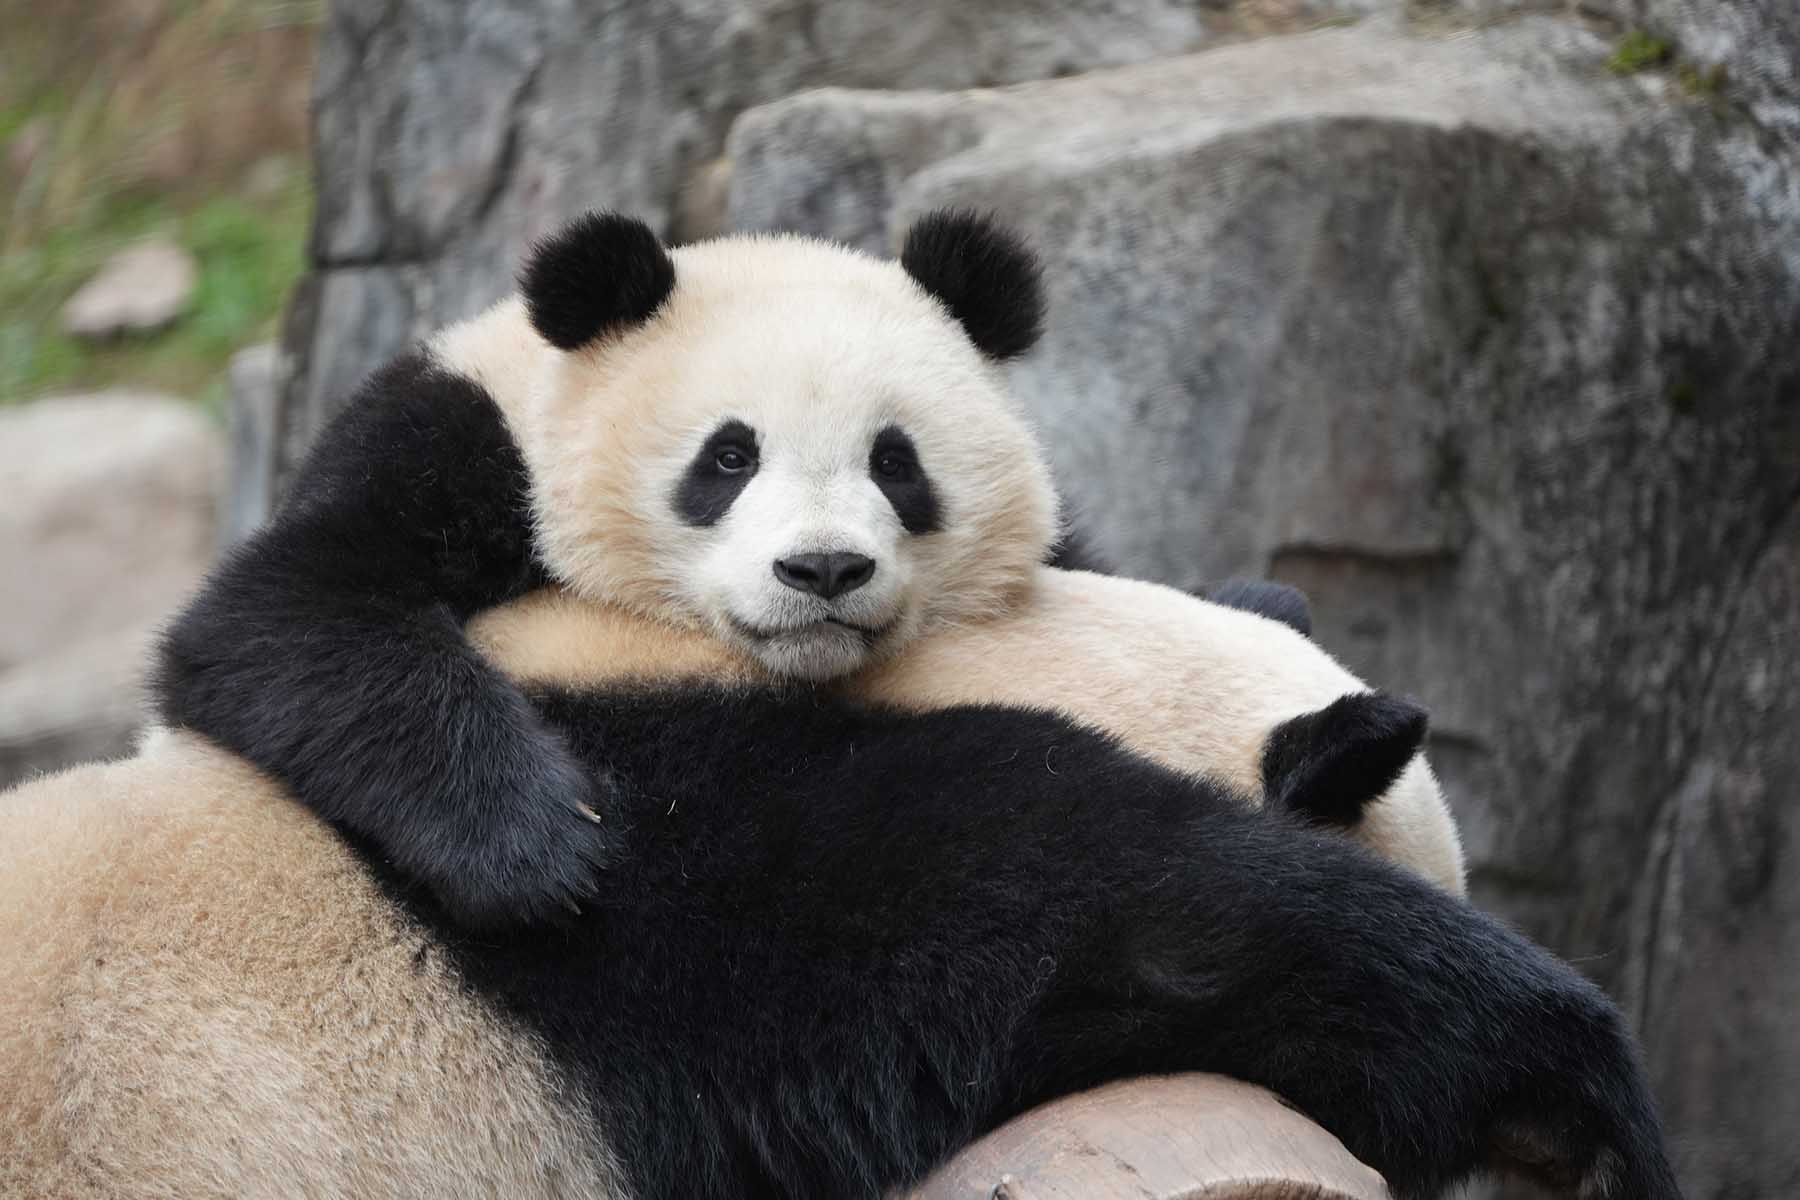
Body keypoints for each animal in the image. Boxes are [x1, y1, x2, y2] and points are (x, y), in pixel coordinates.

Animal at [156, 210, 1463, 940]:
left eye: (898, 463)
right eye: (728, 457)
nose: (824, 568)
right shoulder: (455, 438)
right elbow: (279, 618)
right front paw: (541, 853)